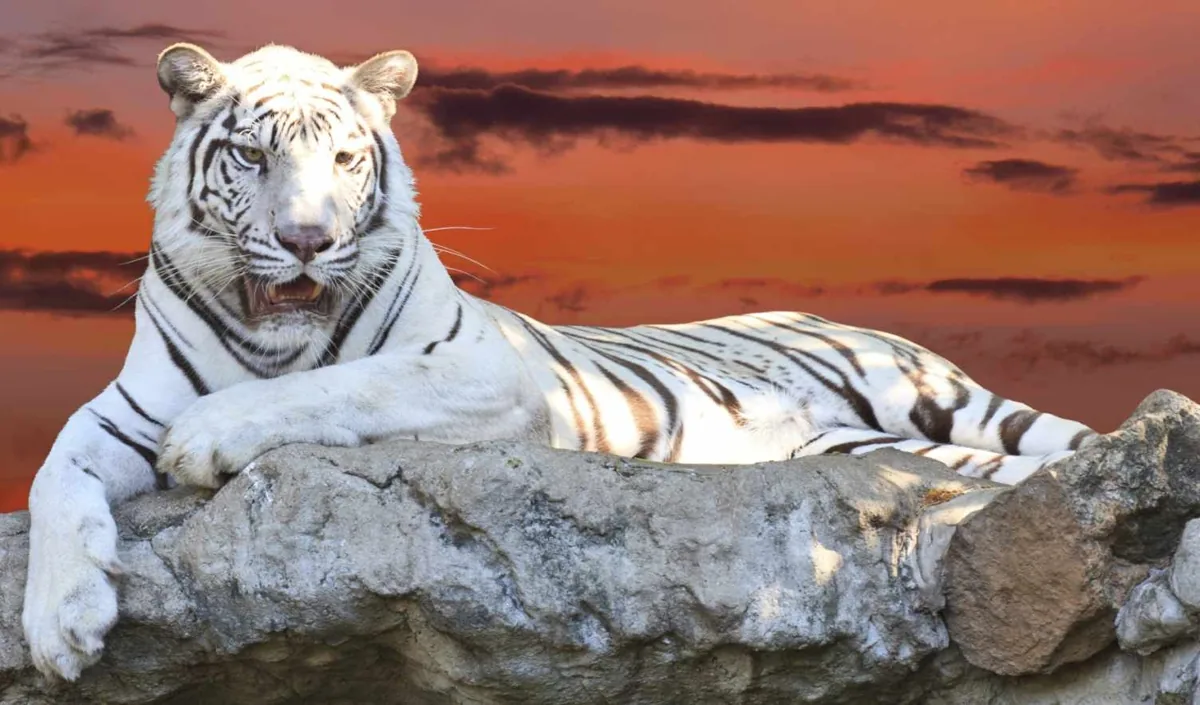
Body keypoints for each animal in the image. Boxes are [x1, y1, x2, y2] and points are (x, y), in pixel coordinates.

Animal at [22, 42, 1098, 682]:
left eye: (343, 160)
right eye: (252, 157)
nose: (305, 241)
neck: (269, 338)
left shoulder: (477, 372)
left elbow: (340, 383)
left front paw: (207, 441)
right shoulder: (124, 407)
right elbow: (54, 474)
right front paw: (60, 622)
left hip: (937, 396)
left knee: (1082, 440)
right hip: (874, 454)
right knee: (995, 474)